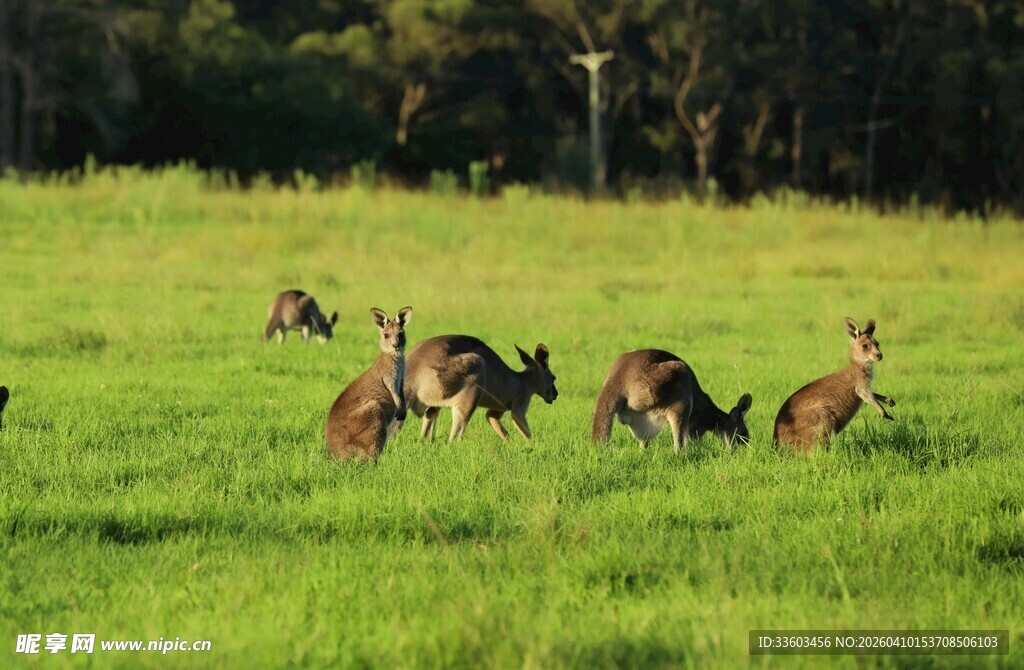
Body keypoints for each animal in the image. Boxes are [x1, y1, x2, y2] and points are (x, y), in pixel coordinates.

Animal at [325, 307, 412, 462]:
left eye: (401, 334)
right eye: (386, 335)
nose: (396, 346)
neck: (393, 357)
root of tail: (335, 453)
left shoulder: (401, 379)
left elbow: (401, 392)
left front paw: (402, 413)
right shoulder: (389, 377)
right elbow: (394, 392)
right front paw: (399, 408)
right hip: (373, 412)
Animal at [400, 335, 558, 442]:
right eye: (554, 378)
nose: (556, 395)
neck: (524, 380)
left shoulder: (499, 407)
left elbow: (491, 418)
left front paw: (510, 443)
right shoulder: (521, 399)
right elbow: (518, 419)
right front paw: (533, 445)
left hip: (436, 397)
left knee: (430, 416)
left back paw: (426, 441)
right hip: (471, 375)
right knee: (458, 425)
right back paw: (456, 445)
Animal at [591, 349, 752, 452]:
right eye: (743, 435)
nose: (744, 451)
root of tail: (617, 380)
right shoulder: (696, 424)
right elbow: (694, 437)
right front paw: (699, 449)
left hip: (641, 413)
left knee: (644, 439)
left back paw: (644, 452)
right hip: (674, 382)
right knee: (678, 439)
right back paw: (683, 455)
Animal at [774, 317, 895, 452]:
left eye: (877, 344)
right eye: (865, 346)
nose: (879, 355)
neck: (858, 366)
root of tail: (777, 446)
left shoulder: (865, 386)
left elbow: (873, 394)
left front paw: (889, 401)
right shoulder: (860, 385)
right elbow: (867, 396)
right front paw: (884, 413)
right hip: (822, 418)